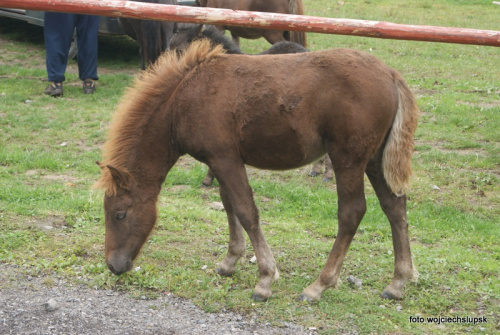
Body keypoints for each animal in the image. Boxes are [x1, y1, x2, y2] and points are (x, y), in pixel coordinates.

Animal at [94, 40, 418, 304]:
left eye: (119, 214)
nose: (113, 265)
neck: (182, 99)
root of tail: (391, 74)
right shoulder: (219, 160)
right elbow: (228, 205)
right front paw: (229, 262)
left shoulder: (225, 159)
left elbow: (246, 211)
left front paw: (264, 280)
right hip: (374, 159)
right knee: (394, 206)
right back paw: (398, 282)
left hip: (348, 158)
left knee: (352, 213)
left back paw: (319, 285)